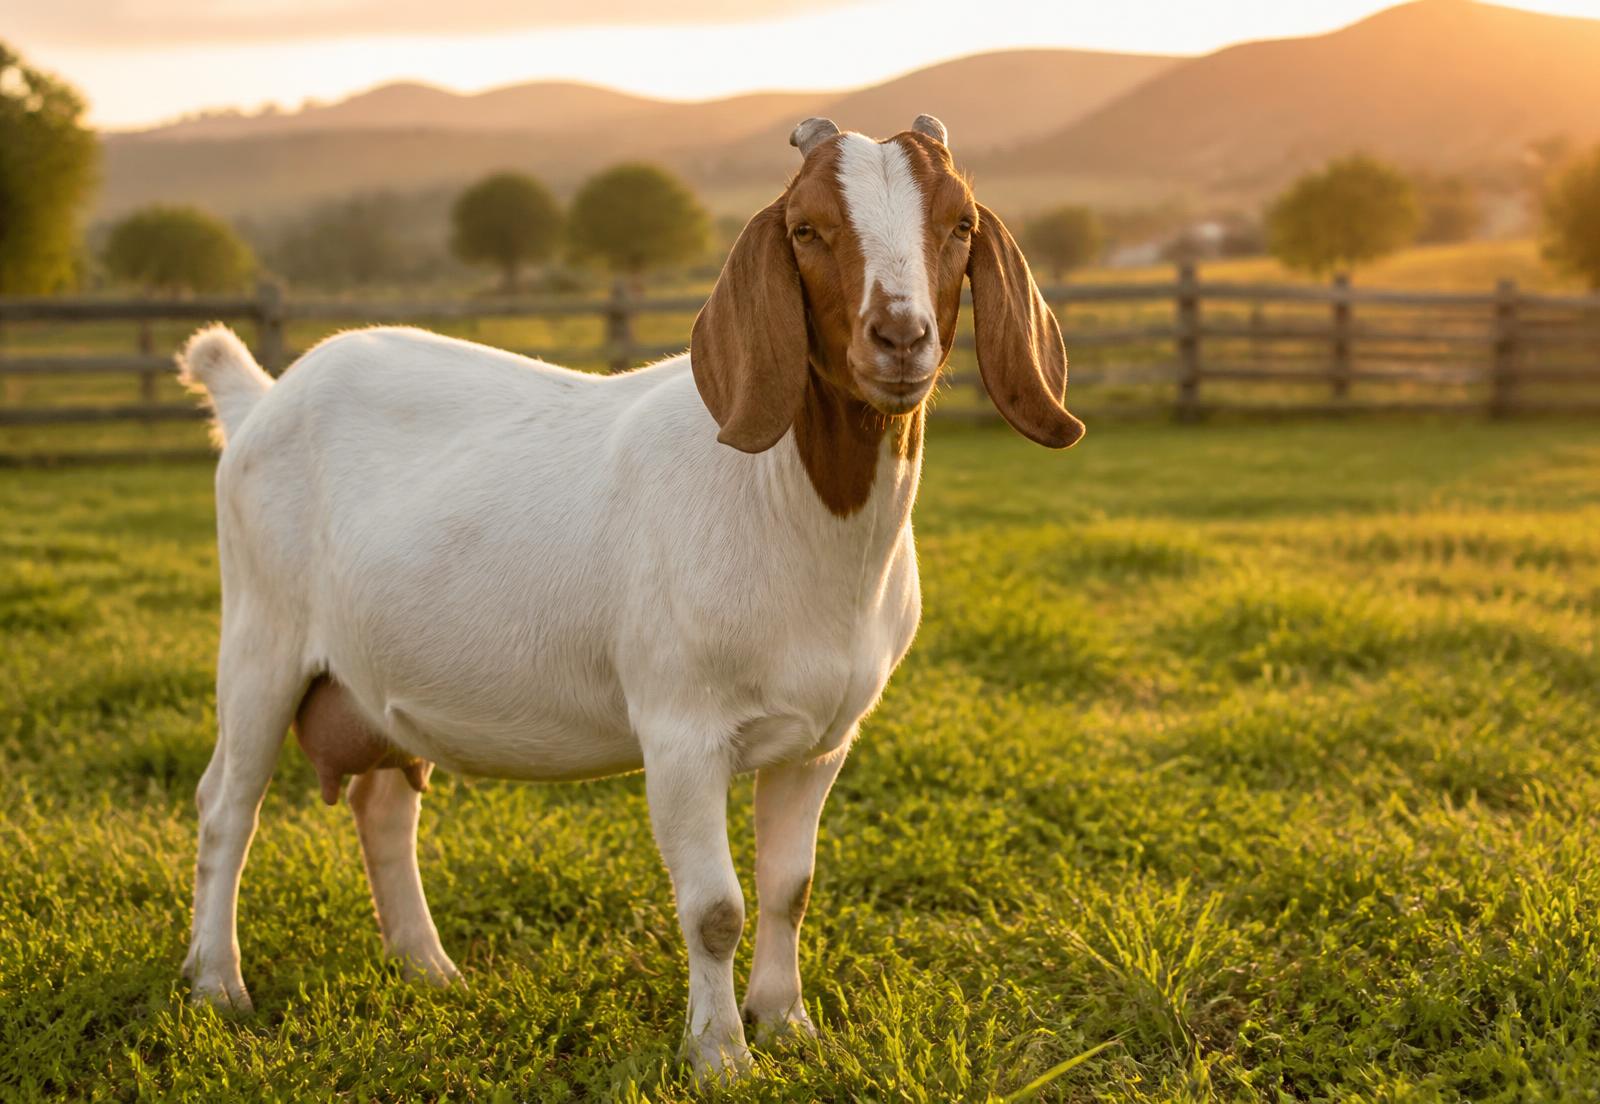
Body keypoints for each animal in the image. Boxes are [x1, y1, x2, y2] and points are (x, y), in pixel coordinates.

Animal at [178, 114, 1083, 1076]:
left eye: (959, 224)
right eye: (806, 228)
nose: (900, 336)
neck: (792, 509)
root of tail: (259, 400)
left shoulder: (823, 739)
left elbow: (790, 889)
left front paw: (787, 1022)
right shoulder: (681, 727)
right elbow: (716, 908)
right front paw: (721, 1055)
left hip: (374, 673)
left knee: (382, 804)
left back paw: (427, 969)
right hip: (261, 636)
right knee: (226, 807)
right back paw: (218, 985)